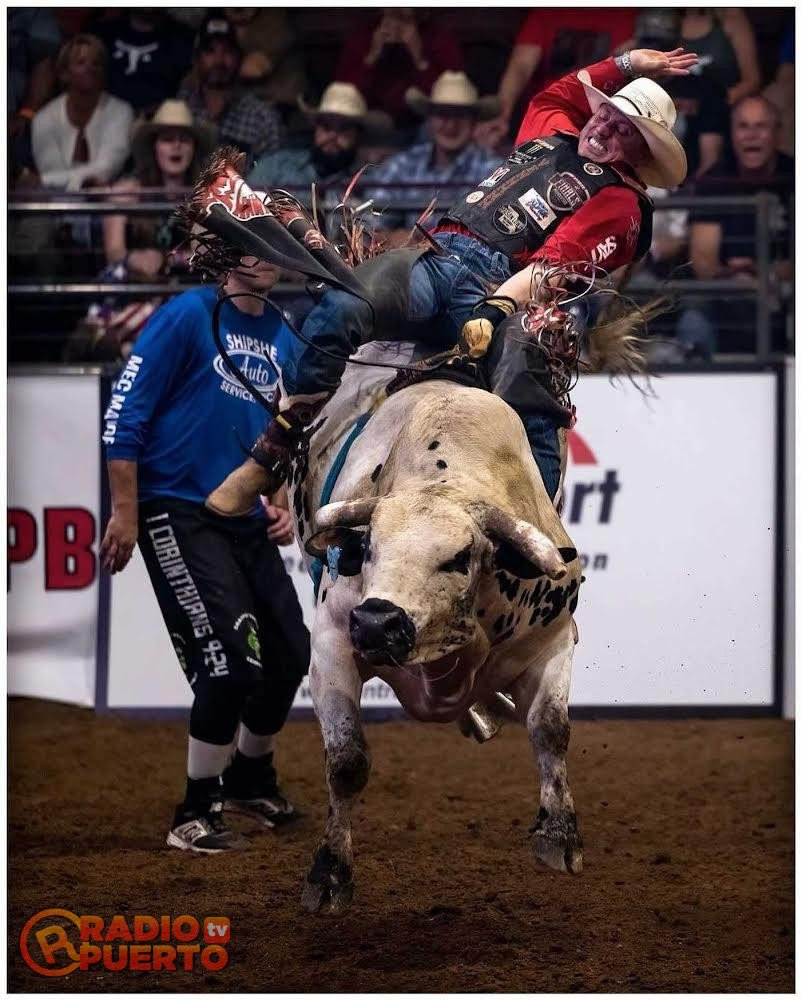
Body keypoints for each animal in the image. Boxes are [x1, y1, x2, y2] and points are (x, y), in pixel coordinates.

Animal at [290, 343, 584, 914]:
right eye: (368, 546)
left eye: (460, 557)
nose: (377, 622)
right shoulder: (332, 643)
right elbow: (347, 761)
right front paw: (329, 873)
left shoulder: (553, 641)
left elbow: (549, 728)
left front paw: (559, 836)